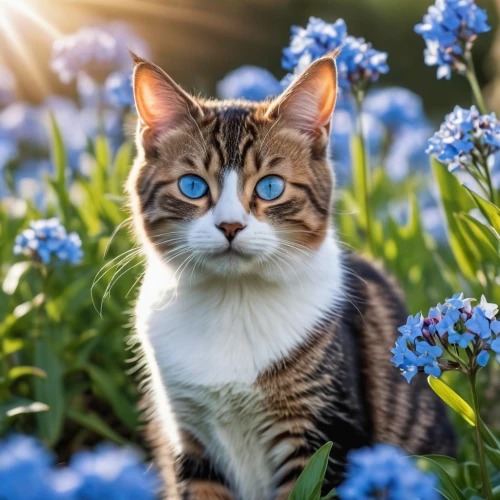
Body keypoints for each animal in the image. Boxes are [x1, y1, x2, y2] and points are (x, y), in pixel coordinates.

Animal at [127, 51, 456, 500]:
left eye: (270, 187)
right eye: (192, 186)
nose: (230, 226)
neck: (234, 300)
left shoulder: (324, 432)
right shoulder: (189, 437)